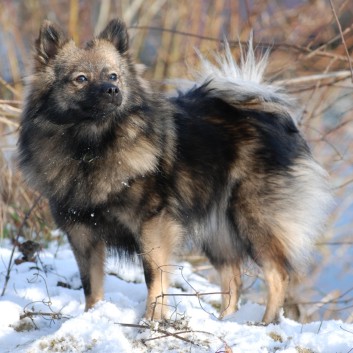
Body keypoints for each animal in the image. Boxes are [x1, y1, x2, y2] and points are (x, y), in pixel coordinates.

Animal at [17, 18, 330, 322]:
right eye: (81, 79)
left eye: (113, 76)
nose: (112, 90)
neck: (91, 148)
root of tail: (267, 113)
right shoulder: (82, 234)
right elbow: (91, 286)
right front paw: (91, 316)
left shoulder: (152, 225)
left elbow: (153, 276)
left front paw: (152, 320)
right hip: (217, 231)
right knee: (233, 280)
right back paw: (223, 322)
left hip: (252, 220)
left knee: (278, 274)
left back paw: (266, 323)